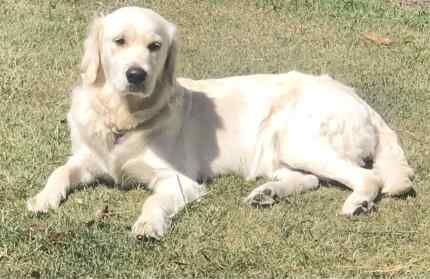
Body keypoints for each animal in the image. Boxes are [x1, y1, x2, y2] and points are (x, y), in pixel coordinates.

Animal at [26, 6, 414, 238]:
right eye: (118, 41)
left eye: (155, 46)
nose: (136, 75)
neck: (123, 116)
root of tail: (358, 98)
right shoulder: (88, 158)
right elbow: (59, 171)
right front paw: (42, 199)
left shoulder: (178, 181)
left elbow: (153, 201)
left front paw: (148, 224)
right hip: (280, 149)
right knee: (309, 179)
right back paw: (266, 193)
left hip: (296, 137)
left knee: (368, 177)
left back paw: (357, 203)